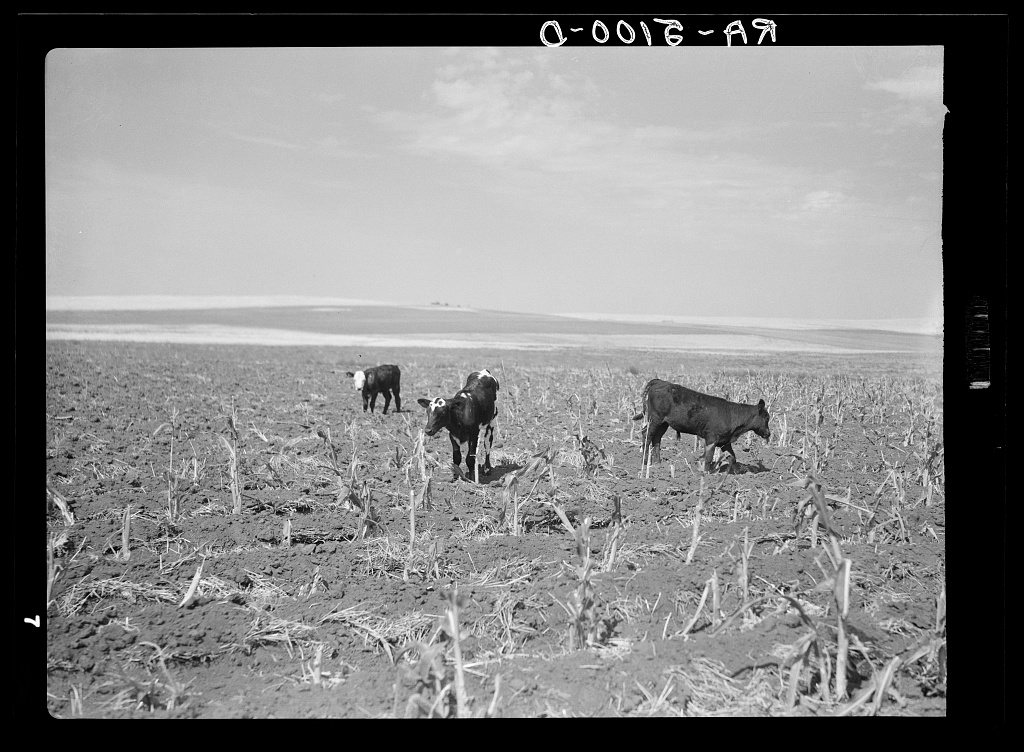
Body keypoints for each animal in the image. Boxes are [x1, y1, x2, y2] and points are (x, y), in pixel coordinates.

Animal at [633, 378, 771, 473]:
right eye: (767, 418)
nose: (768, 433)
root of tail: (659, 381)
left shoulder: (725, 441)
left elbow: (732, 457)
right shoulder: (711, 438)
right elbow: (708, 457)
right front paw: (704, 472)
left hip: (663, 423)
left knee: (657, 439)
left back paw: (658, 463)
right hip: (655, 419)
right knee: (647, 435)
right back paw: (644, 462)